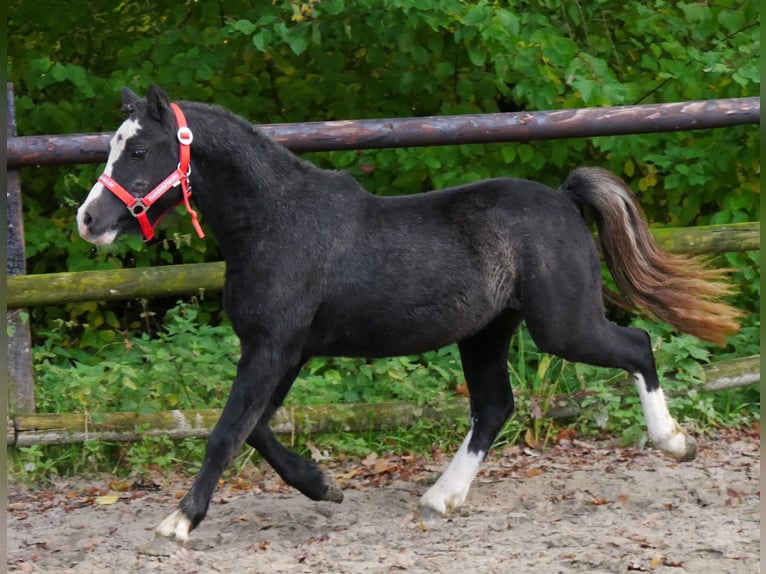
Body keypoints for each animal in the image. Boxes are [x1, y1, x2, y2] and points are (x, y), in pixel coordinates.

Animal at [76, 85, 736, 544]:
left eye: (139, 148)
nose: (88, 220)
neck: (273, 222)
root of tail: (565, 197)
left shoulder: (272, 347)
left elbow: (225, 432)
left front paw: (179, 523)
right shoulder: (286, 349)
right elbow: (255, 428)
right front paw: (325, 488)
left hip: (563, 327)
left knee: (639, 344)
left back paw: (675, 442)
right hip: (487, 334)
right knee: (495, 406)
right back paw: (440, 499)